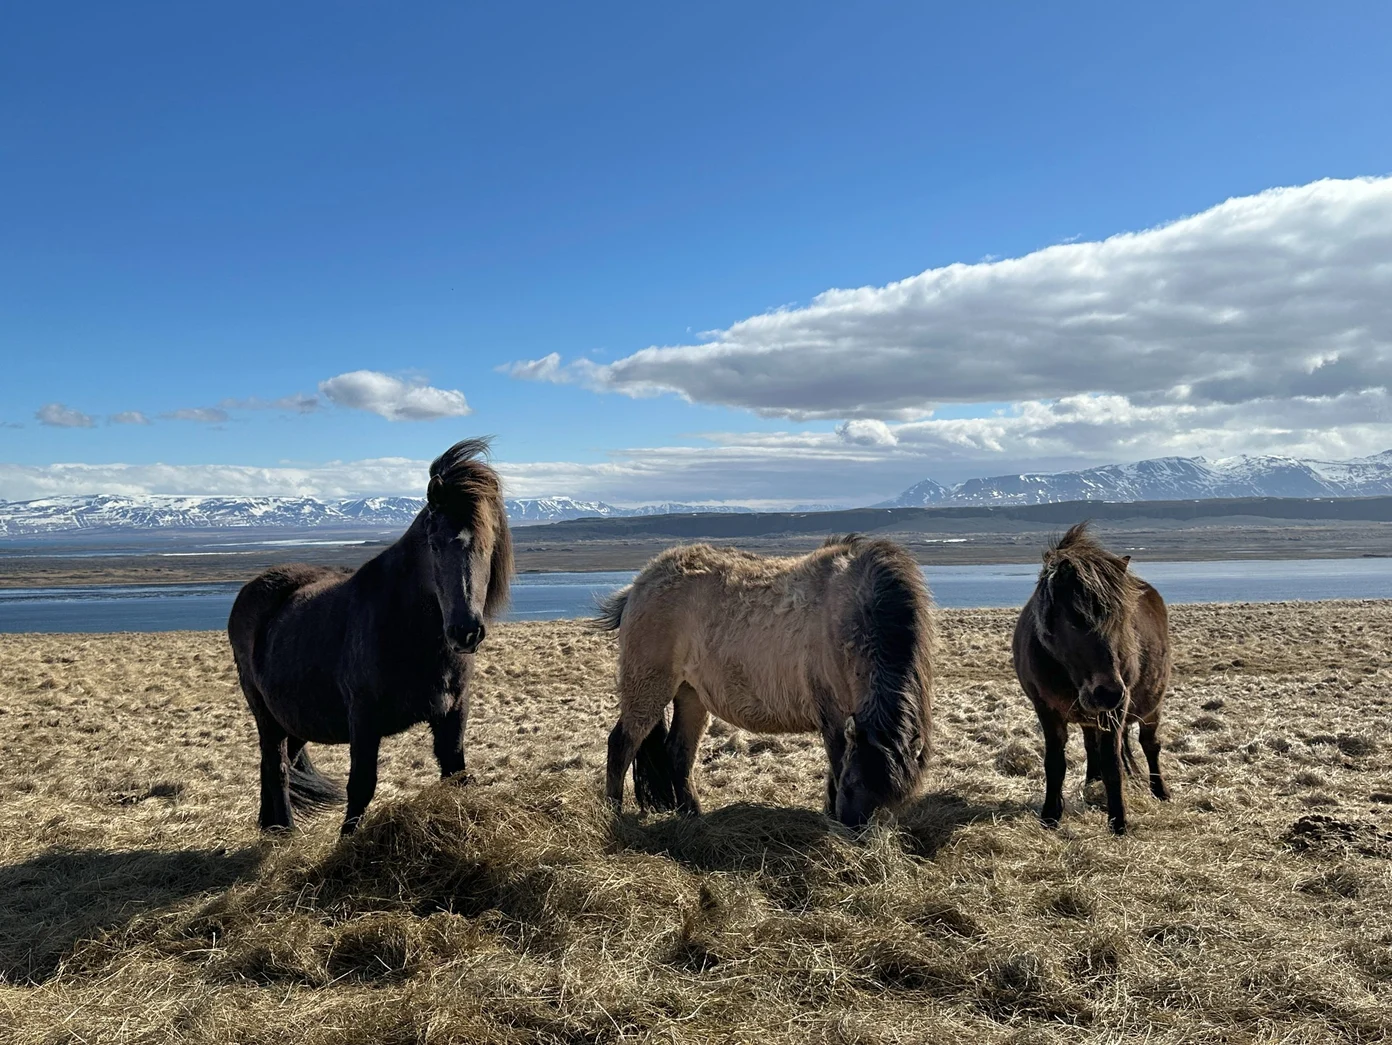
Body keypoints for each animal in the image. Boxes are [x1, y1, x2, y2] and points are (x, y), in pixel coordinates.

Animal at [227, 438, 513, 834]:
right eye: (435, 543)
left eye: (489, 545)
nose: (465, 631)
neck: (408, 632)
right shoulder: (363, 719)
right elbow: (362, 785)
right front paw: (347, 841)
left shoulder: (453, 712)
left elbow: (455, 773)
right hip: (264, 713)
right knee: (276, 765)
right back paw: (284, 829)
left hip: (295, 716)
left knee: (280, 762)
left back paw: (270, 826)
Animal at [591, 534, 935, 828]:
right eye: (852, 785)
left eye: (896, 800)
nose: (855, 834)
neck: (856, 613)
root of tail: (638, 586)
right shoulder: (835, 718)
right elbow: (836, 766)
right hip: (649, 685)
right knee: (622, 744)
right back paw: (614, 813)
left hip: (691, 694)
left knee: (678, 752)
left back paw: (694, 817)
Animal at [1011, 522, 1171, 835]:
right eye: (1074, 618)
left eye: (1121, 618)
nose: (1108, 692)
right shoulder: (1046, 709)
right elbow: (1055, 763)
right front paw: (1050, 816)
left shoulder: (1116, 711)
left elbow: (1113, 763)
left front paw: (1118, 822)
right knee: (1091, 744)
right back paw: (1091, 785)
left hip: (1151, 708)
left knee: (1150, 745)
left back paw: (1160, 791)